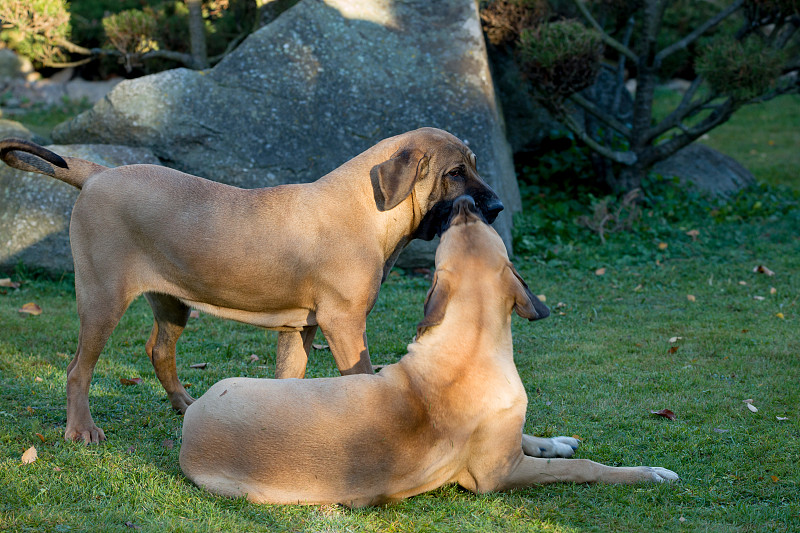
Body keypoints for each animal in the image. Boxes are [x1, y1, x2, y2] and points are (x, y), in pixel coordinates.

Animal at [0, 127, 500, 442]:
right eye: (455, 173)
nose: (495, 208)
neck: (368, 207)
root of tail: (99, 174)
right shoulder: (344, 325)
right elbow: (360, 379)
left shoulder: (302, 329)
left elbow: (290, 379)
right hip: (102, 299)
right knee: (77, 370)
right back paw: (81, 429)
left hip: (173, 302)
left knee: (159, 351)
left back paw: (185, 405)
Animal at [178, 196, 680, 508]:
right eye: (461, 224)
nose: (465, 204)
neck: (469, 342)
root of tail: (191, 426)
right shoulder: (499, 474)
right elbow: (582, 467)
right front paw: (647, 473)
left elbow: (531, 438)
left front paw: (553, 441)